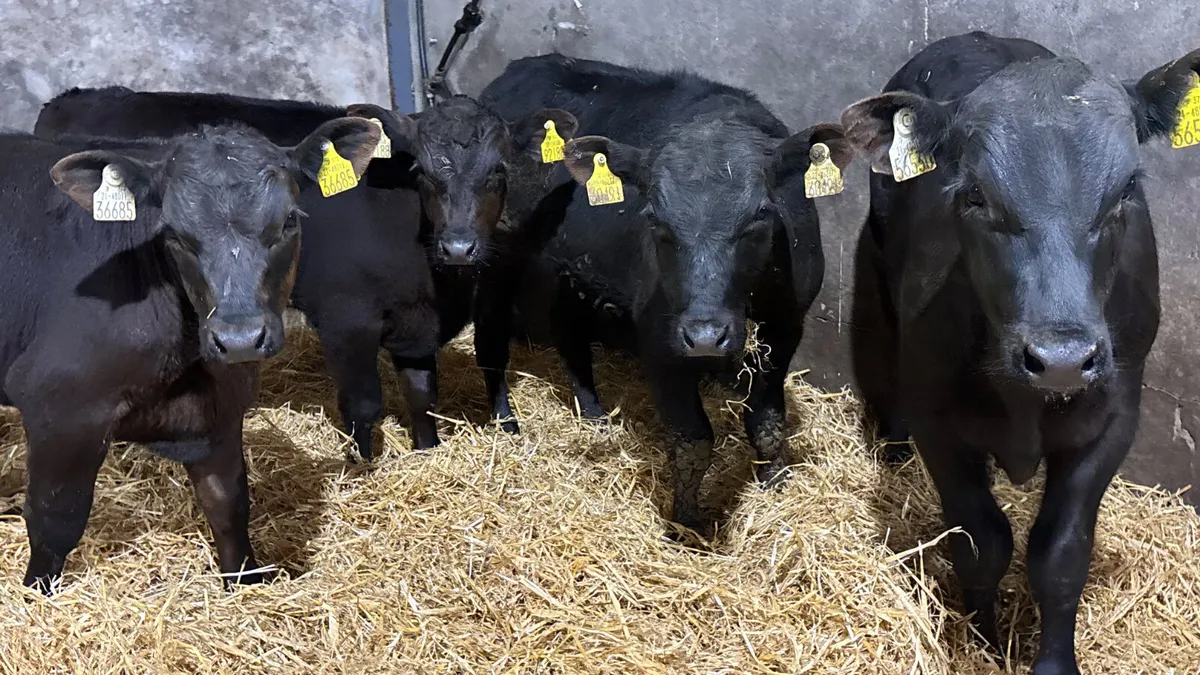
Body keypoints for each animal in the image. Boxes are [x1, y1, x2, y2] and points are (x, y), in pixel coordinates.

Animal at [0, 119, 381, 591]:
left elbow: (229, 506)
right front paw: (37, 594)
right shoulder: (61, 404)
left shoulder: (220, 408)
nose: (238, 339)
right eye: (173, 235)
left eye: (289, 220)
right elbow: (54, 521)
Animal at [37, 88, 580, 458]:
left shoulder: (417, 323)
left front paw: (428, 450)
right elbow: (363, 403)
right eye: (422, 172)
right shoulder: (346, 317)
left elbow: (422, 394)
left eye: (498, 171)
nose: (460, 246)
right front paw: (364, 466)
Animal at [479, 55, 853, 533]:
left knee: (570, 335)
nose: (706, 336)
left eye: (760, 216)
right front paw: (688, 523)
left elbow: (767, 420)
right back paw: (504, 417)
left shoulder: (787, 324)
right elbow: (693, 440)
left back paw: (593, 412)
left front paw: (775, 481)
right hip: (494, 250)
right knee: (491, 331)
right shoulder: (660, 338)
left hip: (570, 269)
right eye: (656, 219)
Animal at [840, 31, 1198, 675]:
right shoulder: (938, 424)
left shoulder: (1112, 421)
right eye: (975, 194)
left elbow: (1059, 555)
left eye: (1127, 190)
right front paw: (984, 641)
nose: (1062, 357)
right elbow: (983, 543)